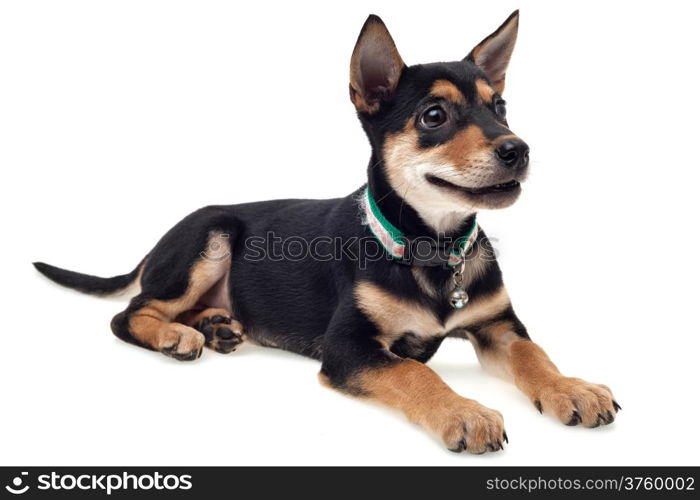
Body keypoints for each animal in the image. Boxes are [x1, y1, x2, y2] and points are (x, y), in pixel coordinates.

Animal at [35, 11, 620, 454]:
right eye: (434, 116)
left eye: (499, 108)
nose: (518, 149)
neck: (431, 246)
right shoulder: (349, 348)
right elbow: (416, 374)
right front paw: (464, 412)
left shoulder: (498, 325)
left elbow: (534, 354)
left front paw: (572, 389)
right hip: (210, 236)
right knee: (130, 313)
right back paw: (177, 335)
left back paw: (216, 325)